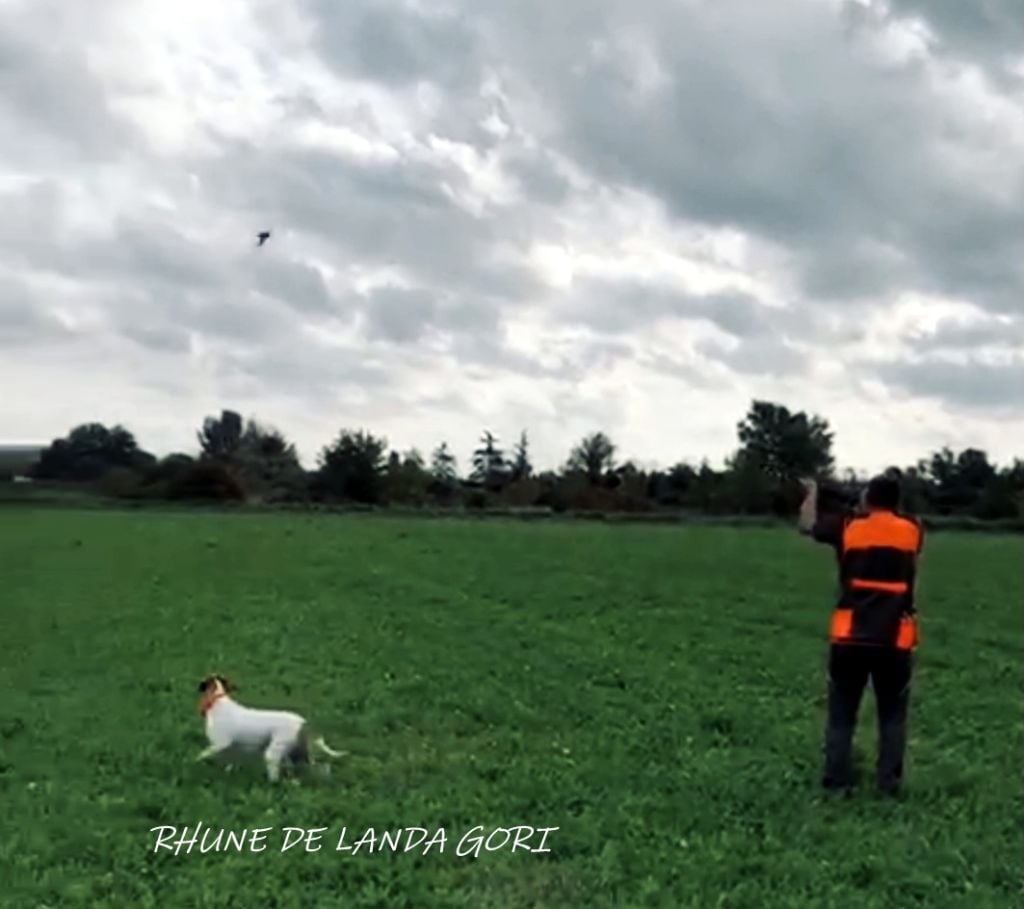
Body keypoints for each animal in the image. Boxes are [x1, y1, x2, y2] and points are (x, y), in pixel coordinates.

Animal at [193, 675, 346, 782]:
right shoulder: (229, 747)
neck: (217, 701)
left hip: (274, 752)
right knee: (319, 766)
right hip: (296, 751)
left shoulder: (220, 744)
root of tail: (301, 721)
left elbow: (202, 754)